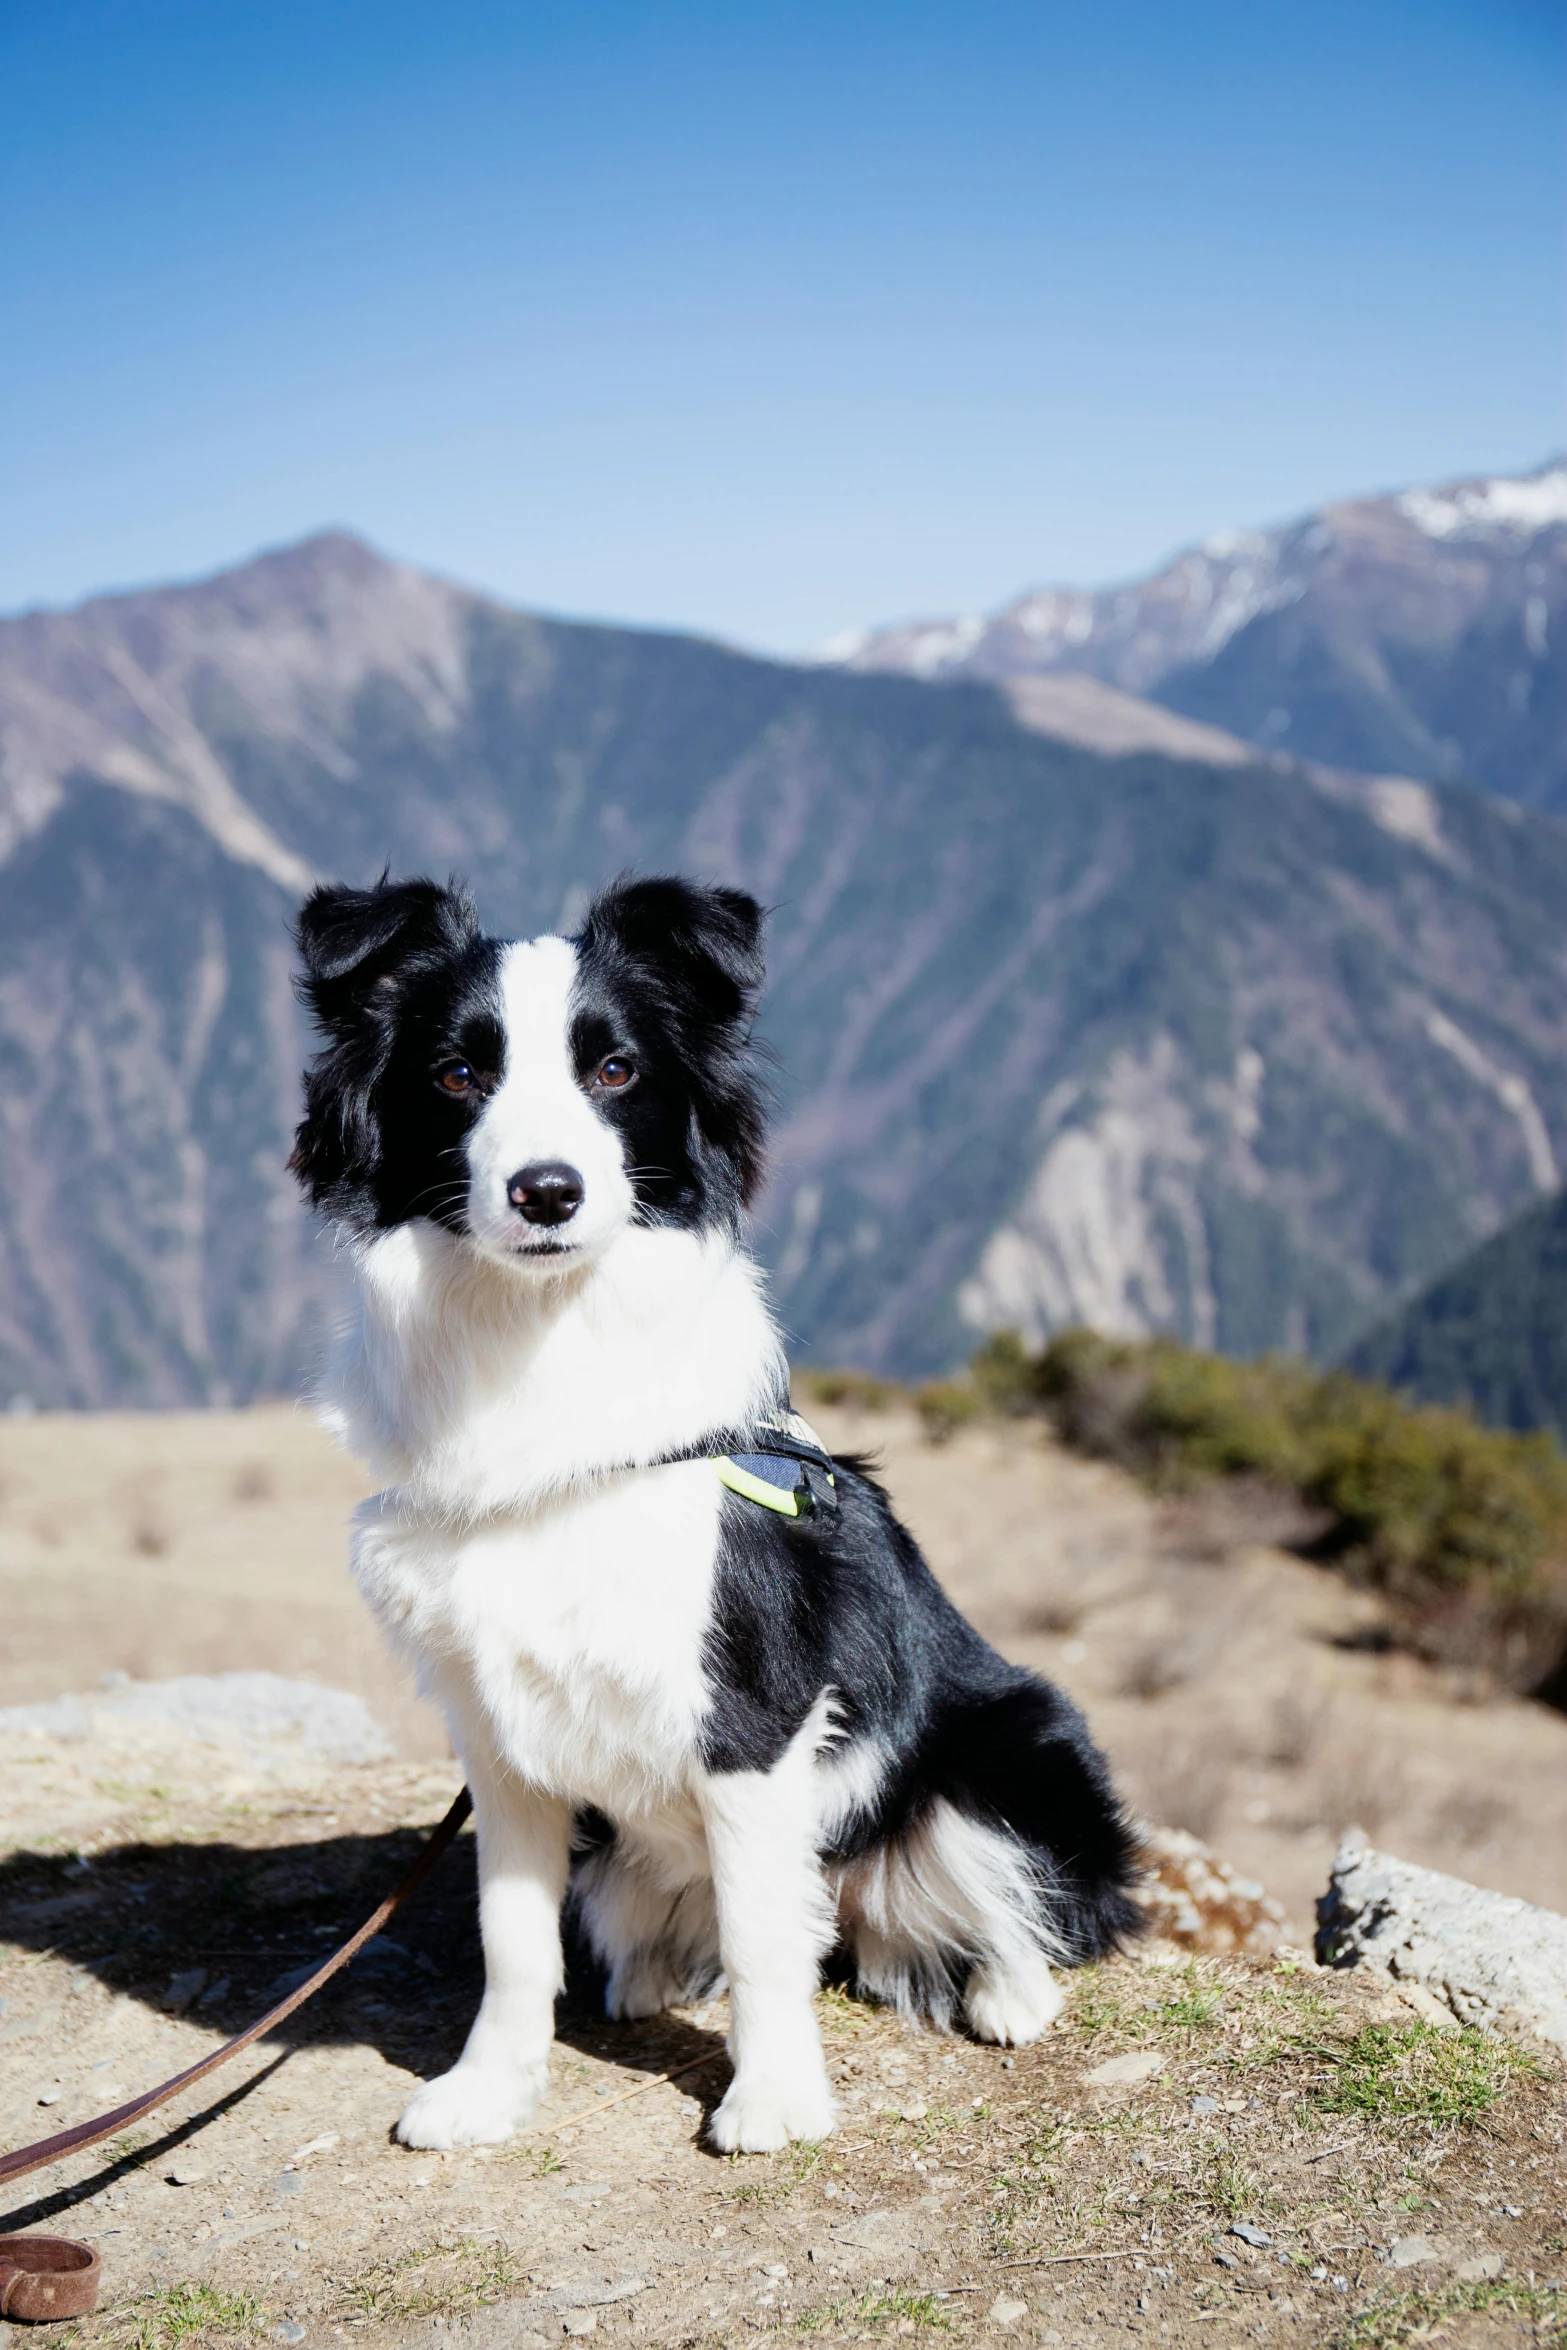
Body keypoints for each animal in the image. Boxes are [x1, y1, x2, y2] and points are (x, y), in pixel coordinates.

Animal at [287, 878, 1132, 2152]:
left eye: (615, 1069)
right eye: (456, 1073)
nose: (547, 1190)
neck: (545, 1358)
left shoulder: (752, 1714)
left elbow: (763, 1933)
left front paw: (772, 2097)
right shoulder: (496, 1733)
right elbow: (511, 1935)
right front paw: (490, 2089)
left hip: (1008, 1752)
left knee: (1007, 1901)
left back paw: (1006, 1994)